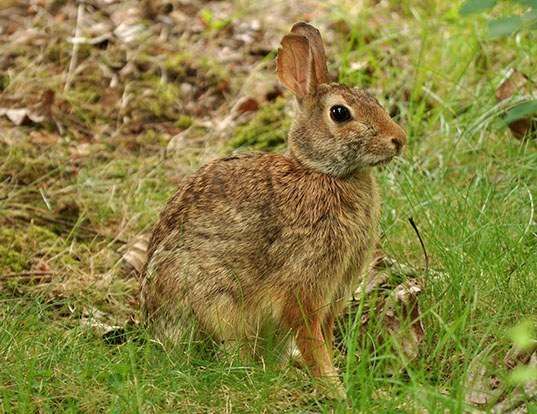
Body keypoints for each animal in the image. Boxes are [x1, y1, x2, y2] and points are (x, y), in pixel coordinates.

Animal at [140, 21, 404, 398]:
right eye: (340, 113)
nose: (399, 139)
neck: (322, 173)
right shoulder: (303, 284)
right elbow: (311, 340)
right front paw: (335, 389)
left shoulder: (334, 292)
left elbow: (323, 335)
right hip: (215, 303)